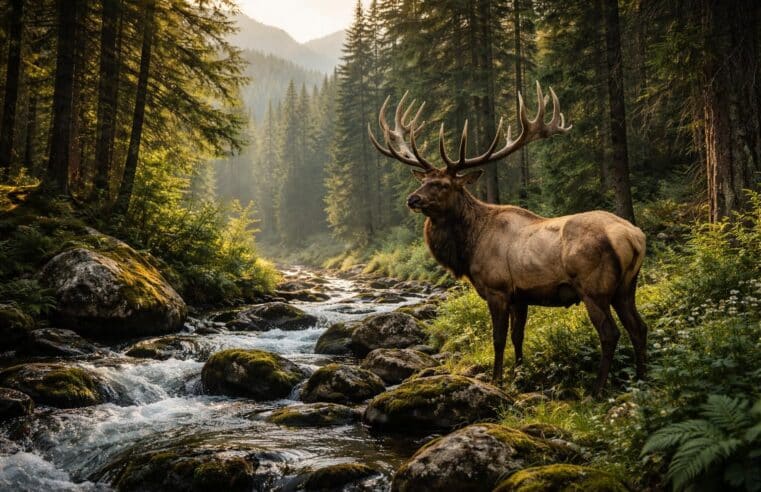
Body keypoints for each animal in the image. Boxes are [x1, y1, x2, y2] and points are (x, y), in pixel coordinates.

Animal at [367, 82, 647, 396]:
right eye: (424, 181)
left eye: (443, 185)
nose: (412, 199)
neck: (468, 247)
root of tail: (634, 236)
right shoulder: (520, 295)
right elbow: (518, 336)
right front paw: (519, 375)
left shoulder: (497, 289)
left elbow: (498, 338)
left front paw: (496, 379)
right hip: (626, 287)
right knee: (639, 327)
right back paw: (642, 378)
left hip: (594, 288)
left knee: (610, 333)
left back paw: (598, 389)